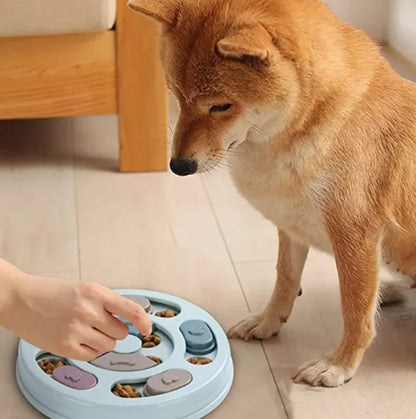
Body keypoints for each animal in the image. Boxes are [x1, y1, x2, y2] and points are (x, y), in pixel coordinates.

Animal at [128, 0, 416, 388]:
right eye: (175, 94)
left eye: (221, 106)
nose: (178, 166)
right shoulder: (291, 227)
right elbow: (285, 279)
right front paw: (267, 322)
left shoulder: (355, 235)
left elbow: (355, 310)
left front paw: (339, 365)